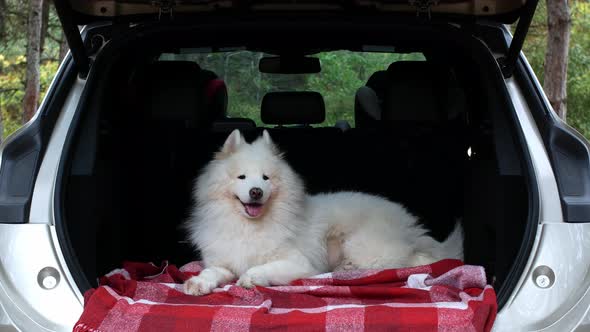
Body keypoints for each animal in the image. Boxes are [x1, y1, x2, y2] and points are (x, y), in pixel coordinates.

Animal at [183, 130, 464, 296]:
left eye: (265, 178)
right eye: (241, 177)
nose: (255, 192)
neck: (248, 226)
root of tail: (407, 222)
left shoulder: (298, 262)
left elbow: (264, 267)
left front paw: (252, 277)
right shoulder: (223, 261)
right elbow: (211, 272)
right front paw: (198, 282)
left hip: (362, 245)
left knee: (409, 260)